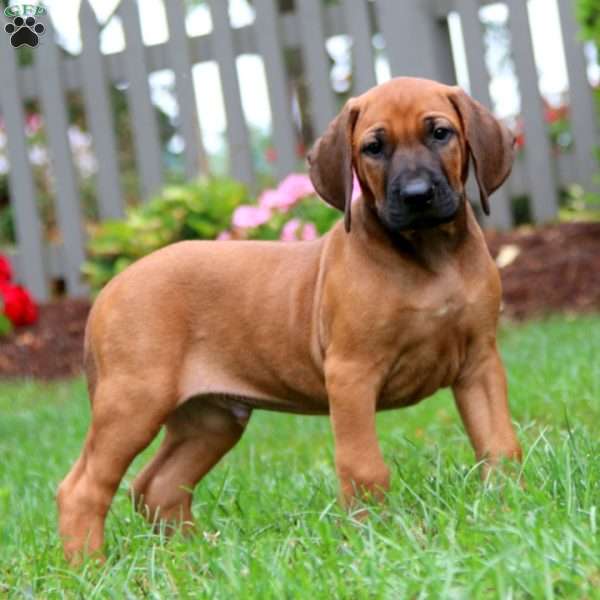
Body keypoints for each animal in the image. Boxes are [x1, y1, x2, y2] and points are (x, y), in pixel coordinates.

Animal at [58, 77, 524, 560]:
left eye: (440, 133)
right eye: (373, 147)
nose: (416, 196)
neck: (430, 256)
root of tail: (109, 289)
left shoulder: (479, 363)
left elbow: (500, 445)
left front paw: (506, 511)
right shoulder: (351, 374)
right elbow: (363, 467)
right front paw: (374, 538)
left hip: (211, 418)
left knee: (157, 485)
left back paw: (194, 557)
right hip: (134, 400)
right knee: (83, 488)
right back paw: (89, 566)